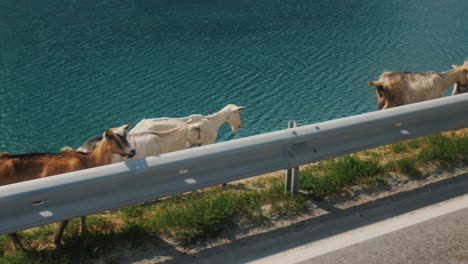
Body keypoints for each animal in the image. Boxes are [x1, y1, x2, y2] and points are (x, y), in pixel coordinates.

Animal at [0, 124, 135, 250]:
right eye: (114, 138)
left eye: (126, 135)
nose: (132, 151)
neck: (88, 162)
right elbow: (66, 219)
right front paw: (57, 240)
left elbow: (83, 213)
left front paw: (83, 231)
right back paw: (18, 248)